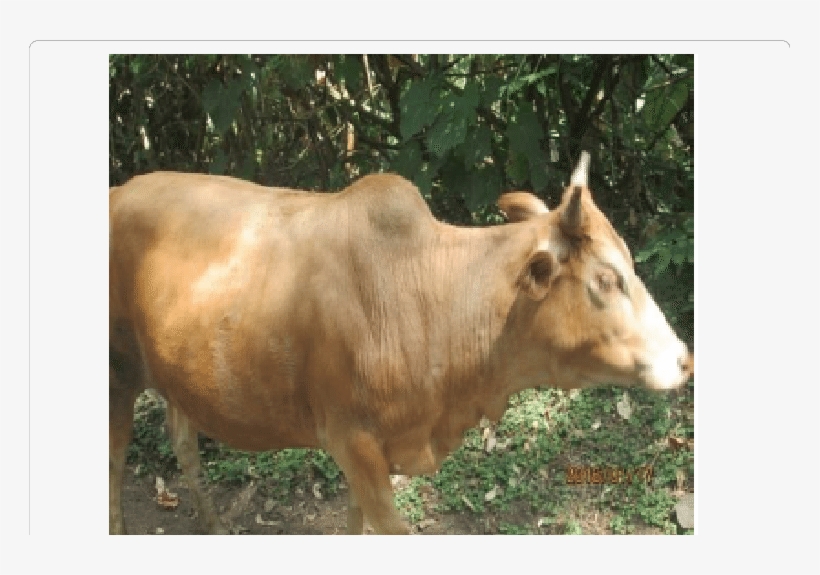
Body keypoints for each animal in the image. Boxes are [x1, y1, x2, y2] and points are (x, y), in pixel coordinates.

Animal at [109, 152, 693, 535]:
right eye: (607, 278)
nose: (685, 360)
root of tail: (119, 191)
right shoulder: (352, 441)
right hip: (119, 374)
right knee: (115, 463)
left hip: (177, 373)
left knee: (183, 445)